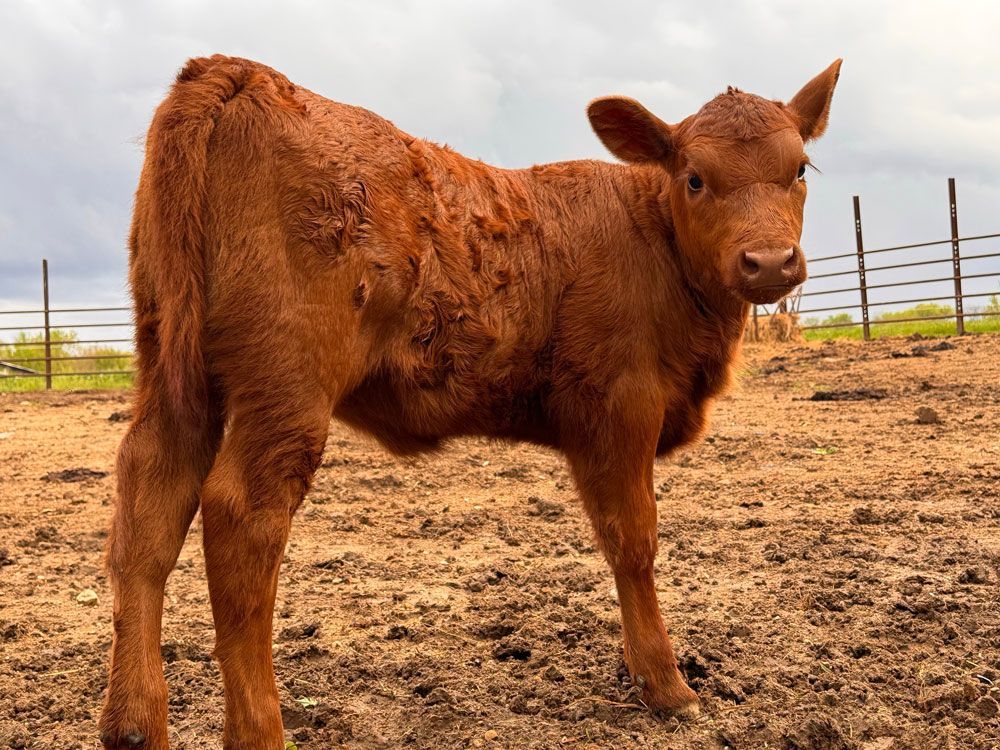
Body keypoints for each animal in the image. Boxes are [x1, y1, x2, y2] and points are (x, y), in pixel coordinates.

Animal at [99, 55, 841, 749]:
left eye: (802, 169)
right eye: (694, 177)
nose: (769, 261)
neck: (653, 240)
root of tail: (241, 73)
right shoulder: (620, 406)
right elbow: (633, 541)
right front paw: (665, 684)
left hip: (174, 365)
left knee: (150, 502)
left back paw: (134, 725)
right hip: (286, 383)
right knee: (241, 517)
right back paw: (259, 730)